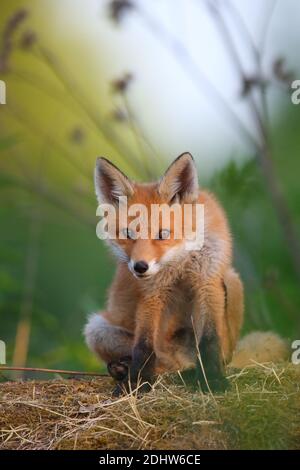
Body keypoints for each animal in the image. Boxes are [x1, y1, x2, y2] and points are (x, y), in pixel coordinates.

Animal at [85, 152, 288, 394]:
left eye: (163, 234)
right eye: (127, 234)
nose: (140, 267)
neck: (180, 259)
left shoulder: (208, 281)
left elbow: (209, 339)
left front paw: (213, 380)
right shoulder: (152, 293)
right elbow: (144, 346)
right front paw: (136, 382)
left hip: (232, 282)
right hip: (97, 329)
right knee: (165, 359)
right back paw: (131, 368)